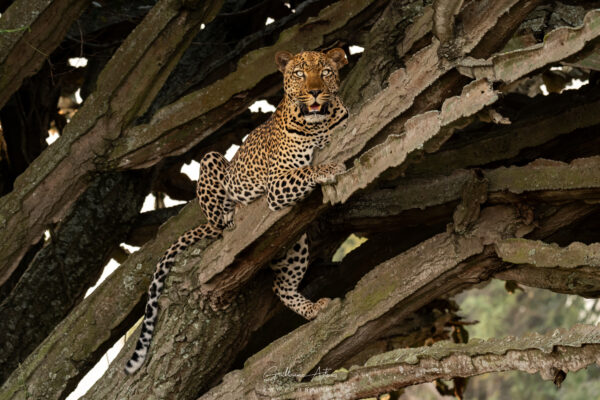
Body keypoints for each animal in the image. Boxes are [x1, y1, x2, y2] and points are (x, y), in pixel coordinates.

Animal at [125, 47, 352, 376]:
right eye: (299, 74)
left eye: (325, 72)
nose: (314, 92)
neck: (319, 123)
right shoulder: (277, 182)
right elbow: (306, 169)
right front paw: (329, 168)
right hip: (212, 159)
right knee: (219, 223)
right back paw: (231, 216)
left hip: (294, 245)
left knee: (281, 286)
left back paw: (311, 309)